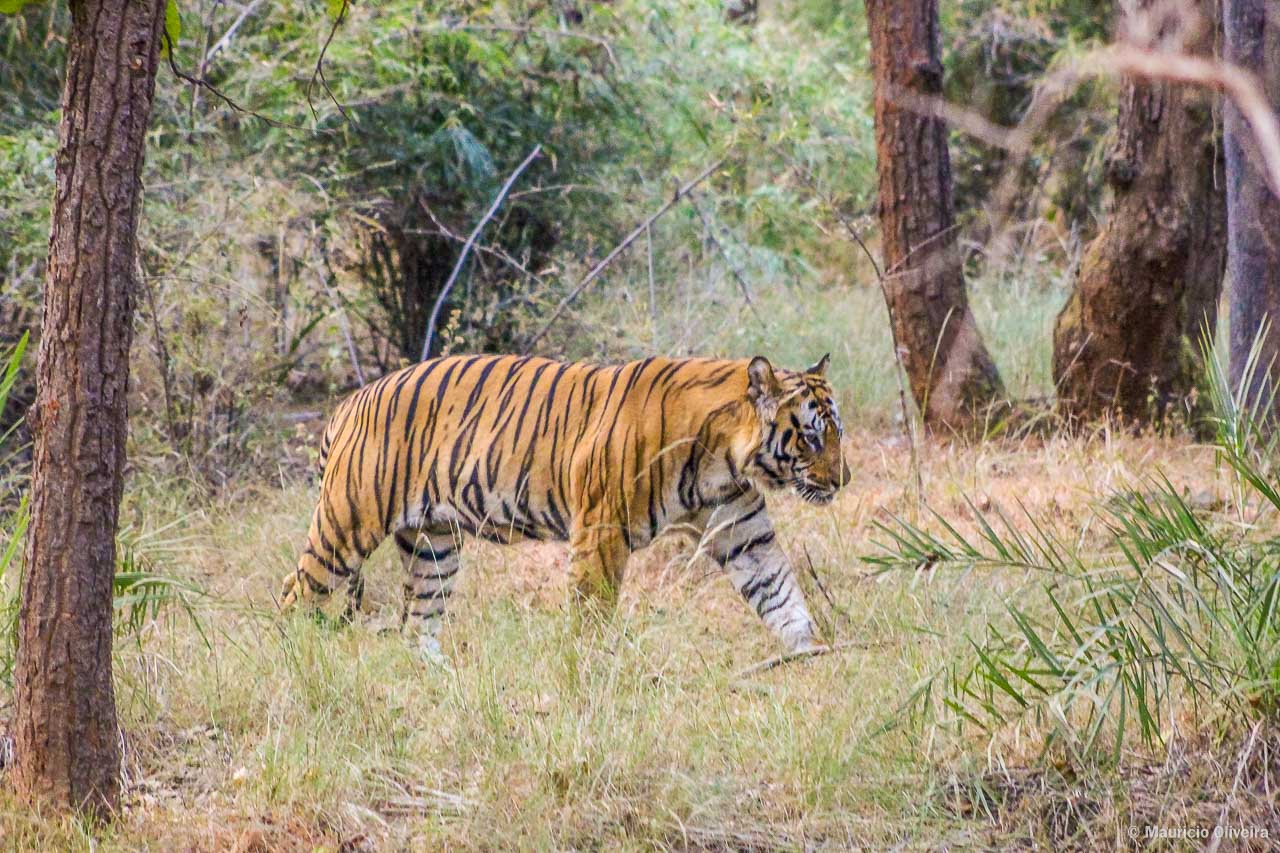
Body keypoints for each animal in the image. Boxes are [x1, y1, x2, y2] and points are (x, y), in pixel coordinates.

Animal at [285, 350, 855, 655]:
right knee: (297, 593)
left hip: (434, 546)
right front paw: (590, 666)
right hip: (347, 524)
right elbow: (591, 608)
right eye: (811, 437)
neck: (727, 459)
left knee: (420, 621)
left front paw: (810, 654)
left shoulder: (742, 529)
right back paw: (300, 664)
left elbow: (779, 592)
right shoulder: (602, 528)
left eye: (838, 433)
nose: (844, 479)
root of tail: (350, 402)